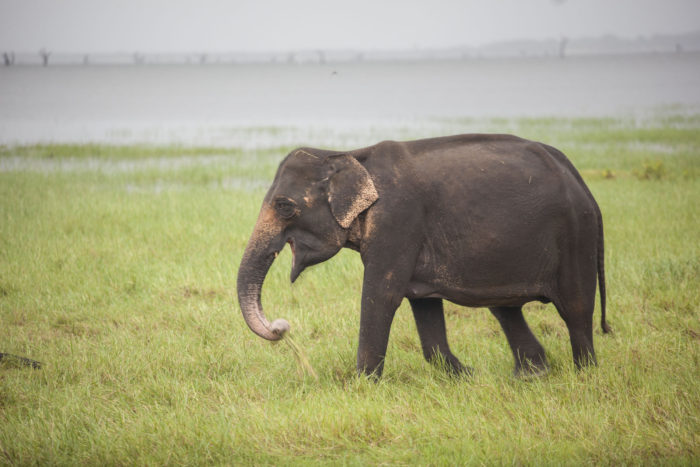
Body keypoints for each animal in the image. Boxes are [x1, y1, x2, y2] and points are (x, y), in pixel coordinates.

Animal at [235, 134, 608, 380]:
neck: (347, 155)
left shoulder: (398, 220)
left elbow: (381, 295)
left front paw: (363, 386)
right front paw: (465, 376)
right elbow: (423, 303)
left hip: (576, 235)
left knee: (576, 309)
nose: (281, 327)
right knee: (505, 307)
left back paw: (583, 374)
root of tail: (579, 180)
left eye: (284, 206)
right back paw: (531, 375)